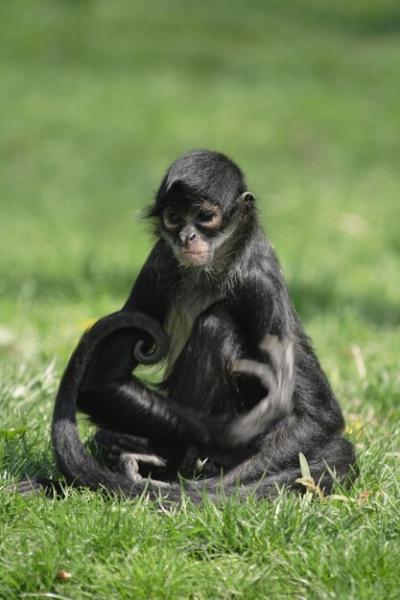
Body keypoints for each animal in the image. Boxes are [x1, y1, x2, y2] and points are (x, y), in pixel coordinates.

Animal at [18, 151, 356, 502]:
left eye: (205, 216)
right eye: (174, 217)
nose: (186, 236)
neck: (210, 271)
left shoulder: (258, 279)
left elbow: (318, 417)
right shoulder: (159, 262)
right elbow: (102, 382)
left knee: (217, 322)